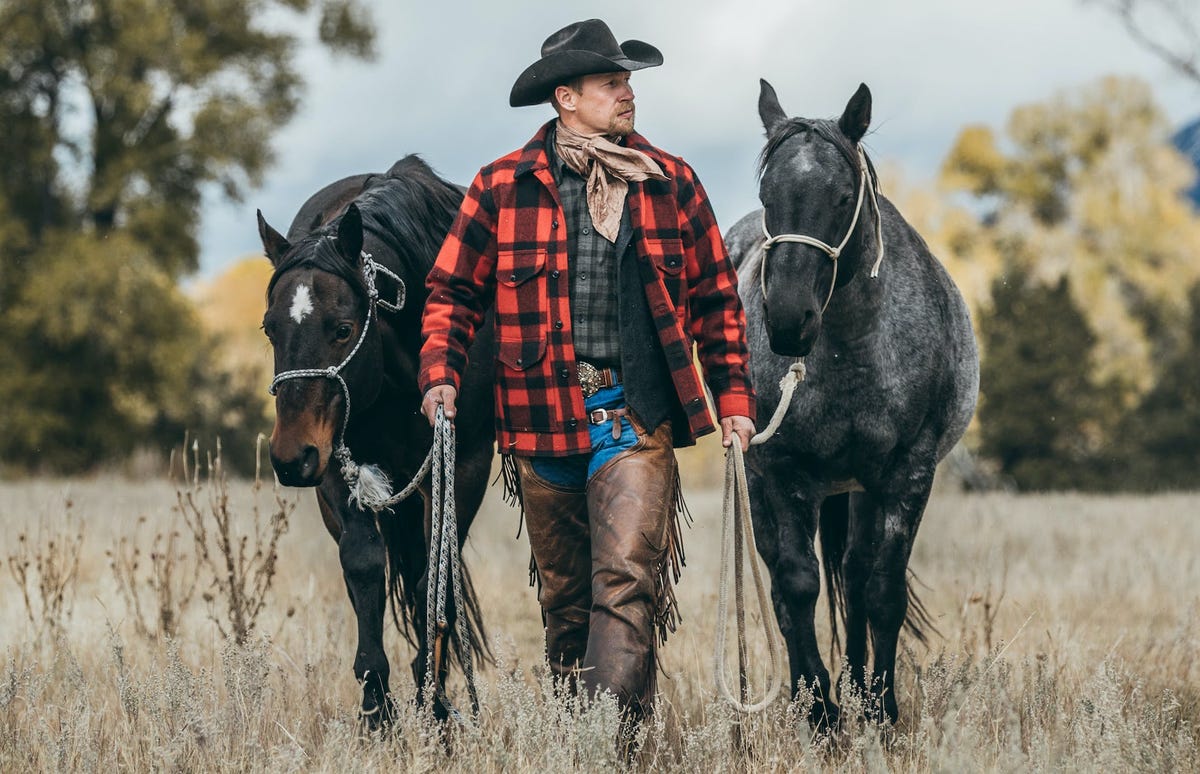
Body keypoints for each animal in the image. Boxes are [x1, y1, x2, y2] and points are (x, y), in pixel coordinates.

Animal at [255, 157, 494, 724]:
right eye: (270, 328)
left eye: (343, 329)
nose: (289, 458)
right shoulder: (335, 466)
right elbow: (364, 566)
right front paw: (376, 703)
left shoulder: (464, 465)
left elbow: (434, 579)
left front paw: (434, 700)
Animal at [724, 81, 979, 729]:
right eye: (767, 196)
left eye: (842, 198)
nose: (788, 320)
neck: (851, 346)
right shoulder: (783, 472)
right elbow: (796, 587)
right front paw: (820, 708)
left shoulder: (907, 473)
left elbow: (880, 591)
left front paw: (880, 707)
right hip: (763, 482)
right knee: (786, 586)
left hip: (861, 488)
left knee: (860, 575)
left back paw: (862, 686)